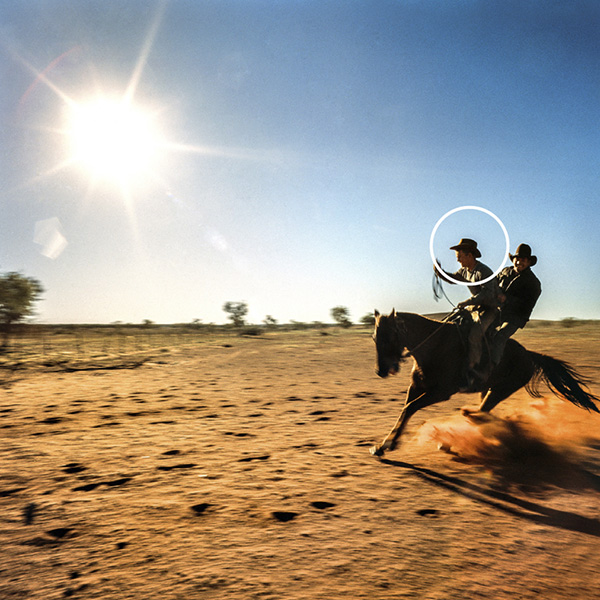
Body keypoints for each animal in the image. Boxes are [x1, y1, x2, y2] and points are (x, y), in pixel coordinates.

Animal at [370, 310, 600, 454]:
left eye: (389, 336)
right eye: (374, 337)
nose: (381, 371)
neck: (434, 346)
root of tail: (530, 355)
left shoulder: (441, 393)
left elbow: (410, 408)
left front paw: (389, 445)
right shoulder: (417, 387)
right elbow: (405, 409)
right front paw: (382, 446)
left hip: (500, 390)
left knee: (483, 413)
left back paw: (457, 434)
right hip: (488, 389)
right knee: (485, 413)